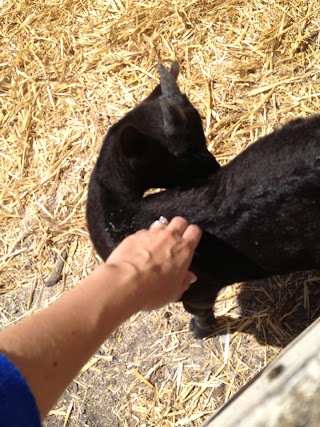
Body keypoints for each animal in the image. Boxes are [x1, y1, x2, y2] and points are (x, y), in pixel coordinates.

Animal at [86, 64, 318, 338]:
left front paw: (200, 330)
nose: (213, 168)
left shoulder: (195, 288)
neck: (119, 213)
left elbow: (199, 310)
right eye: (182, 155)